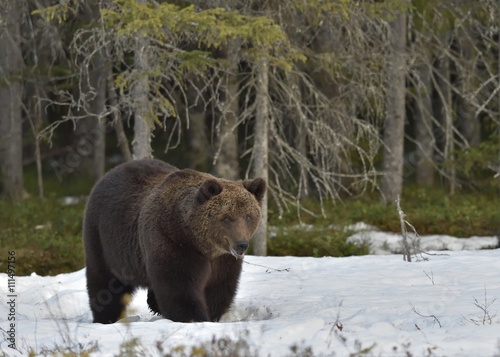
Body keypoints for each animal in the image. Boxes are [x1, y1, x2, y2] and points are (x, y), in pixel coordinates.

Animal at [83, 159, 266, 322]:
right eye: (227, 218)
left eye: (249, 216)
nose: (242, 245)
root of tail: (108, 174)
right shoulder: (171, 241)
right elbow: (179, 286)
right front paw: (194, 317)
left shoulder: (223, 260)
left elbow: (219, 287)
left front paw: (212, 315)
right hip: (104, 239)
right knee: (104, 282)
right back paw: (106, 317)